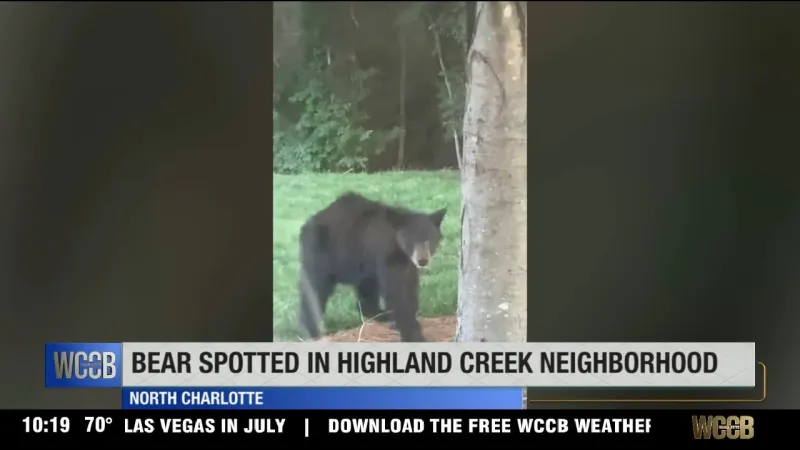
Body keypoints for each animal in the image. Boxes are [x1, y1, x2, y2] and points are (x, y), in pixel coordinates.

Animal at [297, 192, 447, 342]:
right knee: (316, 290)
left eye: (430, 239)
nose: (423, 260)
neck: (398, 249)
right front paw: (413, 334)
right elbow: (396, 294)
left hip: (362, 264)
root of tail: (306, 226)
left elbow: (409, 287)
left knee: (367, 288)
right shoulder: (386, 256)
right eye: (411, 240)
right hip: (321, 254)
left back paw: (380, 314)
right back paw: (312, 332)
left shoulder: (406, 263)